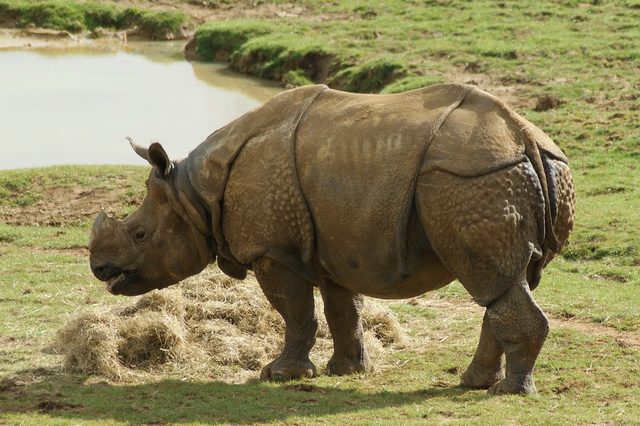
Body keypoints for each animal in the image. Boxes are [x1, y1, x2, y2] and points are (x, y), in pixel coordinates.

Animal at [89, 83, 575, 395]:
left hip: (472, 180)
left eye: (140, 234)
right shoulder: (336, 246)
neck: (195, 195)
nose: (99, 270)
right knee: (505, 285)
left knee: (492, 282)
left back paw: (509, 393)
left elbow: (295, 311)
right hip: (509, 174)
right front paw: (347, 371)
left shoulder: (273, 250)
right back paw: (475, 383)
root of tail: (524, 136)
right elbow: (343, 309)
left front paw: (279, 375)